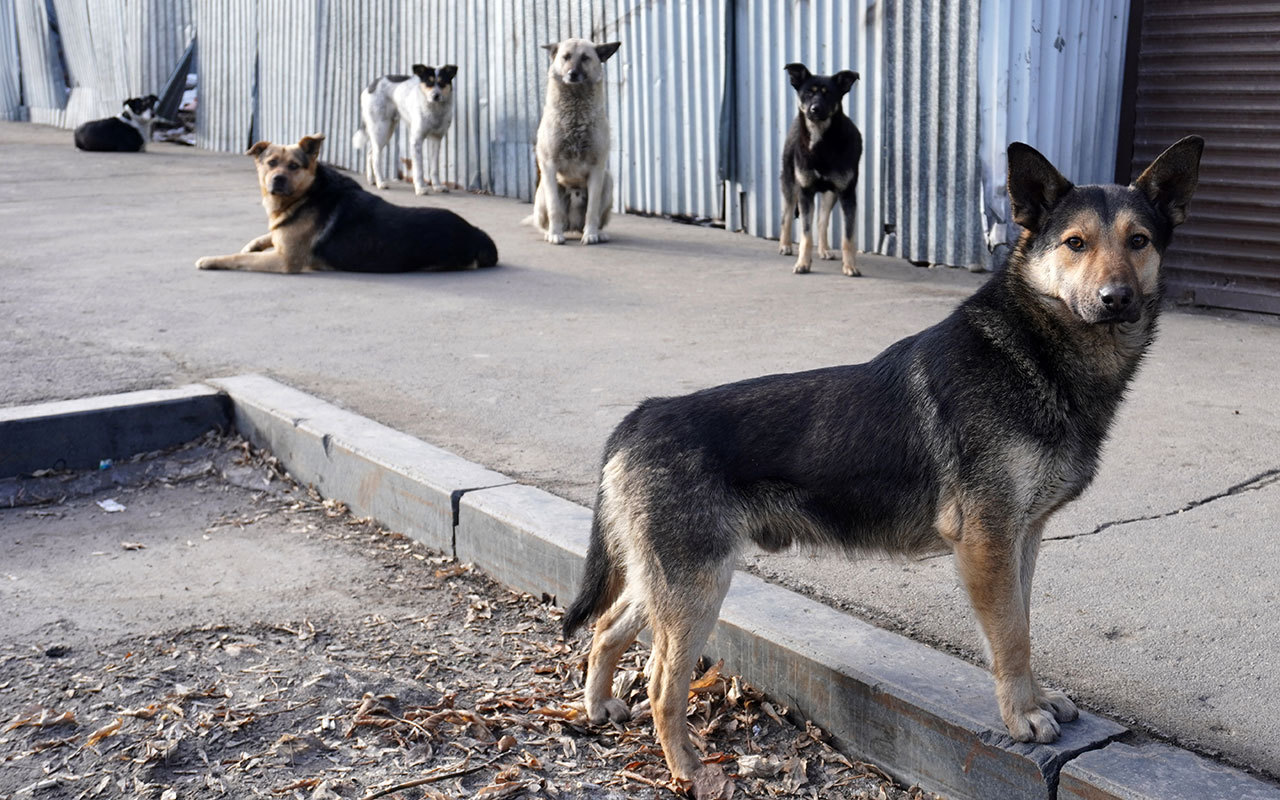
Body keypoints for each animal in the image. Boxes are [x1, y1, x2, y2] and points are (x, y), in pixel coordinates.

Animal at [195, 134, 499, 273]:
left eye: (294, 166)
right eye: (270, 163)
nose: (278, 179)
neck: (308, 193)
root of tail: (476, 233)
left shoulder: (285, 260)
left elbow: (238, 258)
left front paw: (211, 259)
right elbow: (266, 236)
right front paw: (254, 241)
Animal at [353, 64, 458, 194]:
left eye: (442, 82)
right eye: (429, 82)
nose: (436, 96)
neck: (435, 109)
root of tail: (370, 86)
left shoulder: (436, 139)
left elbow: (434, 168)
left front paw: (437, 186)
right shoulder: (416, 140)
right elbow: (419, 169)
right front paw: (420, 188)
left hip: (386, 131)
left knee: (370, 153)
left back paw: (371, 180)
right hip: (381, 129)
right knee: (375, 157)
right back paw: (381, 182)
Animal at [565, 135, 1203, 778]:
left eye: (1138, 241)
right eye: (1076, 243)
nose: (1117, 299)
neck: (1031, 351)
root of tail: (641, 416)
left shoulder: (1022, 539)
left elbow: (1023, 624)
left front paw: (1037, 698)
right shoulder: (988, 544)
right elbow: (1011, 637)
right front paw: (1022, 715)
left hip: (670, 583)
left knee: (607, 627)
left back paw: (598, 706)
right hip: (697, 589)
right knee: (659, 683)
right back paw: (689, 769)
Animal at [773, 62, 865, 276]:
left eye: (828, 94)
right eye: (808, 92)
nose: (814, 109)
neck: (822, 142)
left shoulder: (847, 194)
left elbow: (848, 238)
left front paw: (850, 266)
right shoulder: (805, 191)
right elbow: (806, 235)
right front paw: (802, 264)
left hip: (831, 193)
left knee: (823, 221)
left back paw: (824, 249)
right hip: (790, 182)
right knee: (786, 214)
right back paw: (785, 245)